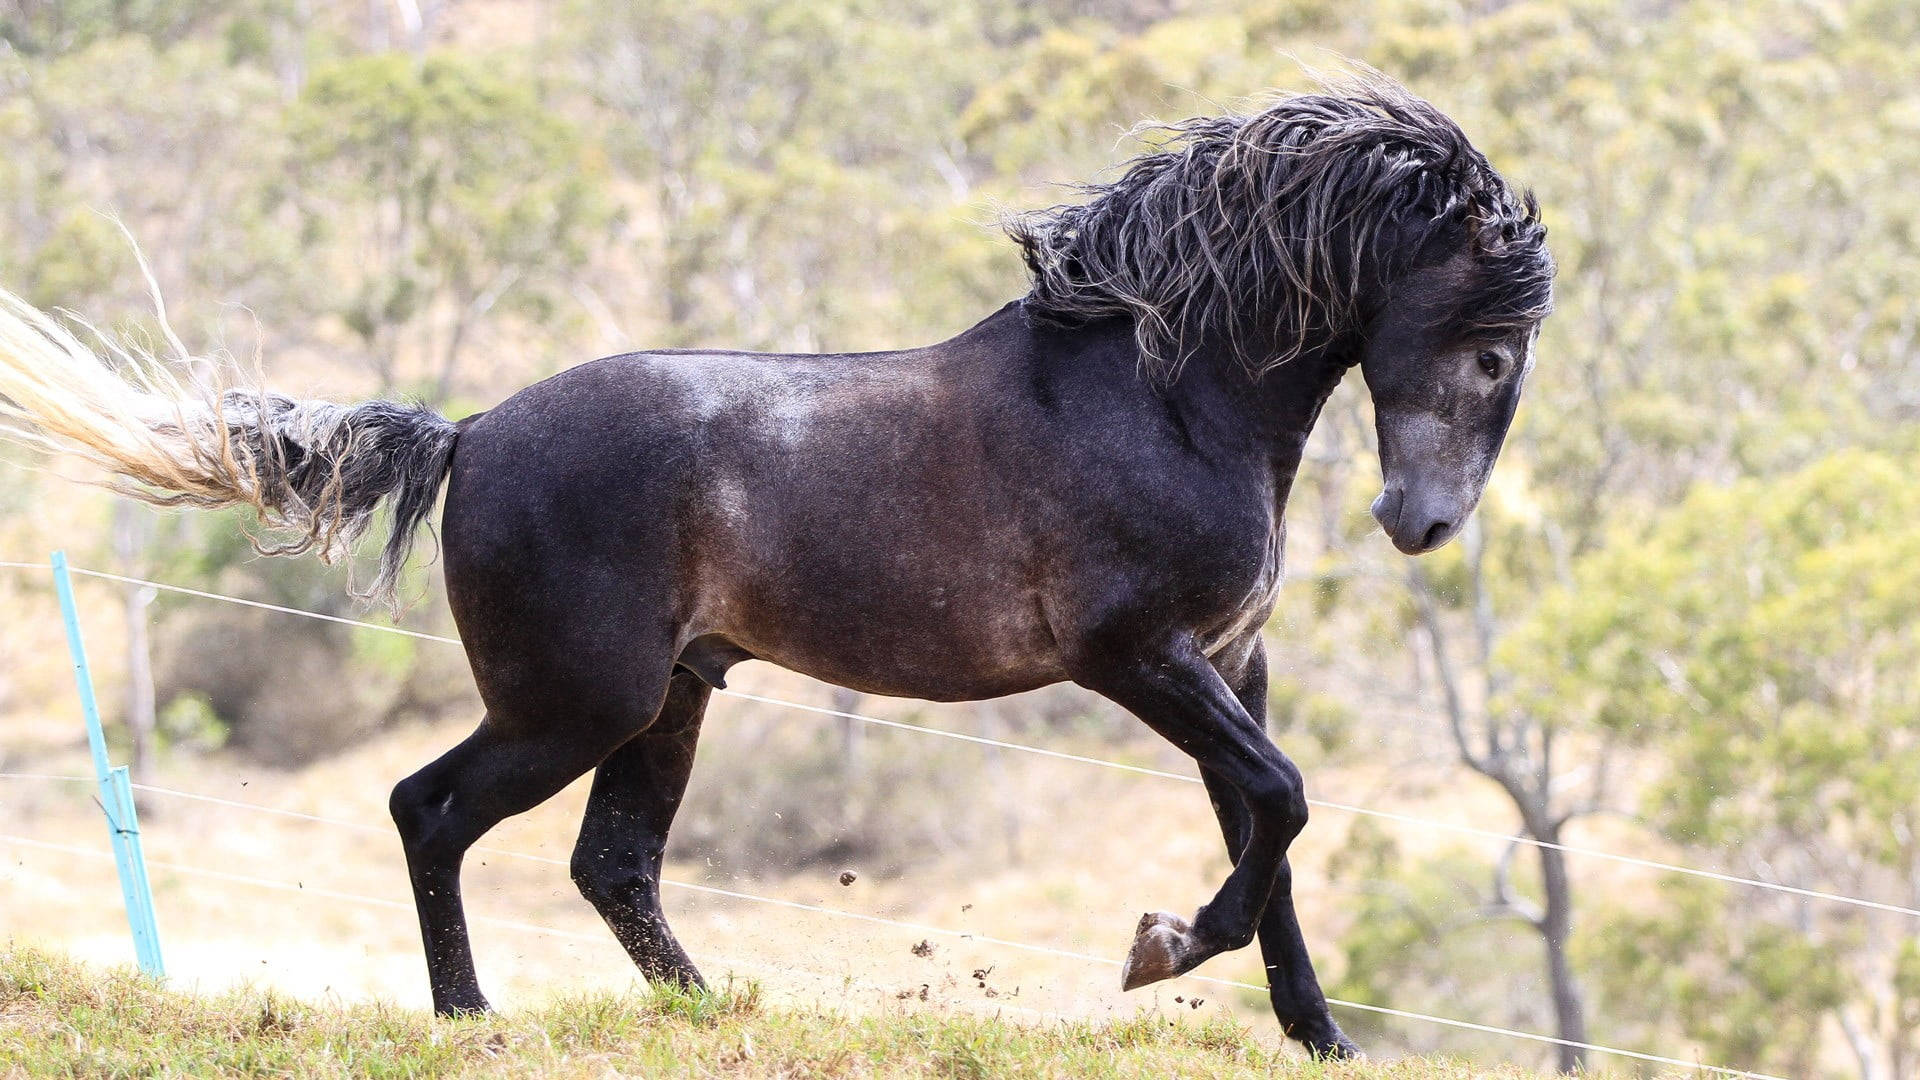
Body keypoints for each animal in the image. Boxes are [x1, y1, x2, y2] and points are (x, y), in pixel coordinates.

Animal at [0, 77, 1552, 1058]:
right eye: (1490, 351)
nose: (1421, 524)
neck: (1162, 390)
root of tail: (474, 433)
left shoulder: (1233, 663)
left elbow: (1270, 834)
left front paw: (1318, 1034)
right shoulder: (1141, 661)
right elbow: (1279, 808)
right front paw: (1161, 947)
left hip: (669, 700)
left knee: (612, 867)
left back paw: (710, 1012)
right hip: (577, 702)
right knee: (431, 812)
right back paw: (473, 1018)